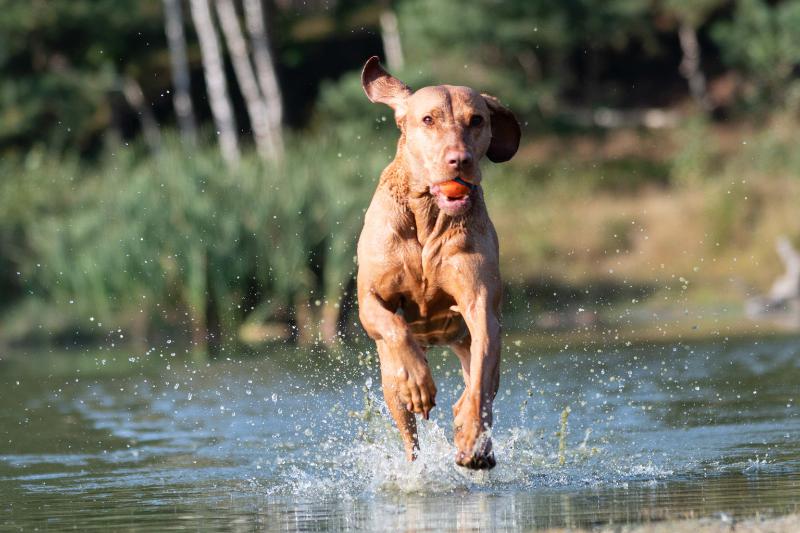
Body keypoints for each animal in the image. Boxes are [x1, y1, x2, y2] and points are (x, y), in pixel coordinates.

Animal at [354, 55, 520, 470]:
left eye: (476, 120)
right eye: (428, 119)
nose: (459, 159)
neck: (428, 217)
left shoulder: (481, 306)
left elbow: (479, 384)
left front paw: (472, 436)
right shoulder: (370, 300)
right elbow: (395, 327)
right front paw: (418, 381)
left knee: (482, 387)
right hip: (388, 378)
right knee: (409, 435)